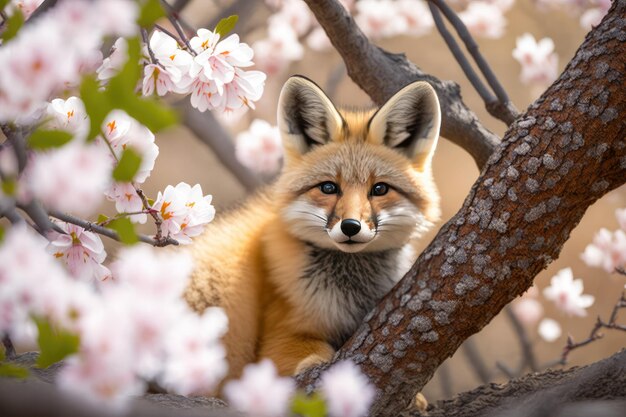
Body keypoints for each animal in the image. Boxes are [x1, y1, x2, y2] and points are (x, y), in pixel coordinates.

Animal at [183, 75, 442, 384]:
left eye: (379, 189)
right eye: (328, 187)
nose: (351, 226)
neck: (350, 294)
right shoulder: (280, 335)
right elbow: (312, 355)